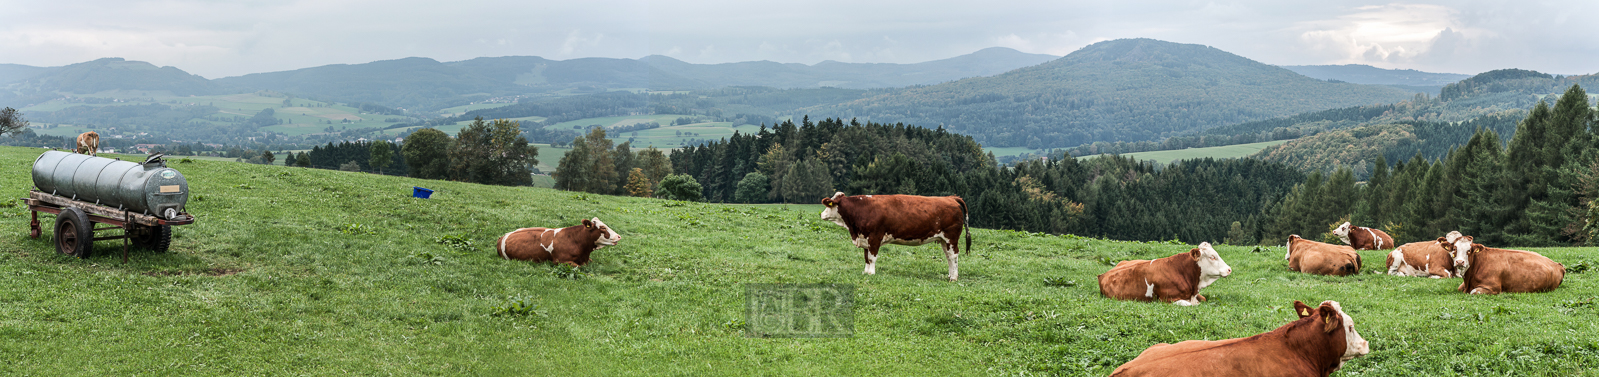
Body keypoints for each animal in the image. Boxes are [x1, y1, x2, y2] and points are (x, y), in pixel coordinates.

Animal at [818, 193, 965, 281]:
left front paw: (871, 273)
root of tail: (950, 198)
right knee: (948, 256)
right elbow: (866, 258)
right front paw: (865, 272)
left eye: (829, 205)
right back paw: (950, 274)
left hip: (951, 238)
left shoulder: (874, 237)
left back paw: (954, 278)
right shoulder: (865, 238)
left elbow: (871, 258)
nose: (821, 214)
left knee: (953, 256)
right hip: (943, 240)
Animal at [1100, 241, 1234, 306]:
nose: (1229, 269)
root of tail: (1102, 275)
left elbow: (1203, 299)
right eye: (1212, 257)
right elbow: (1191, 305)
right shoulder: (1167, 299)